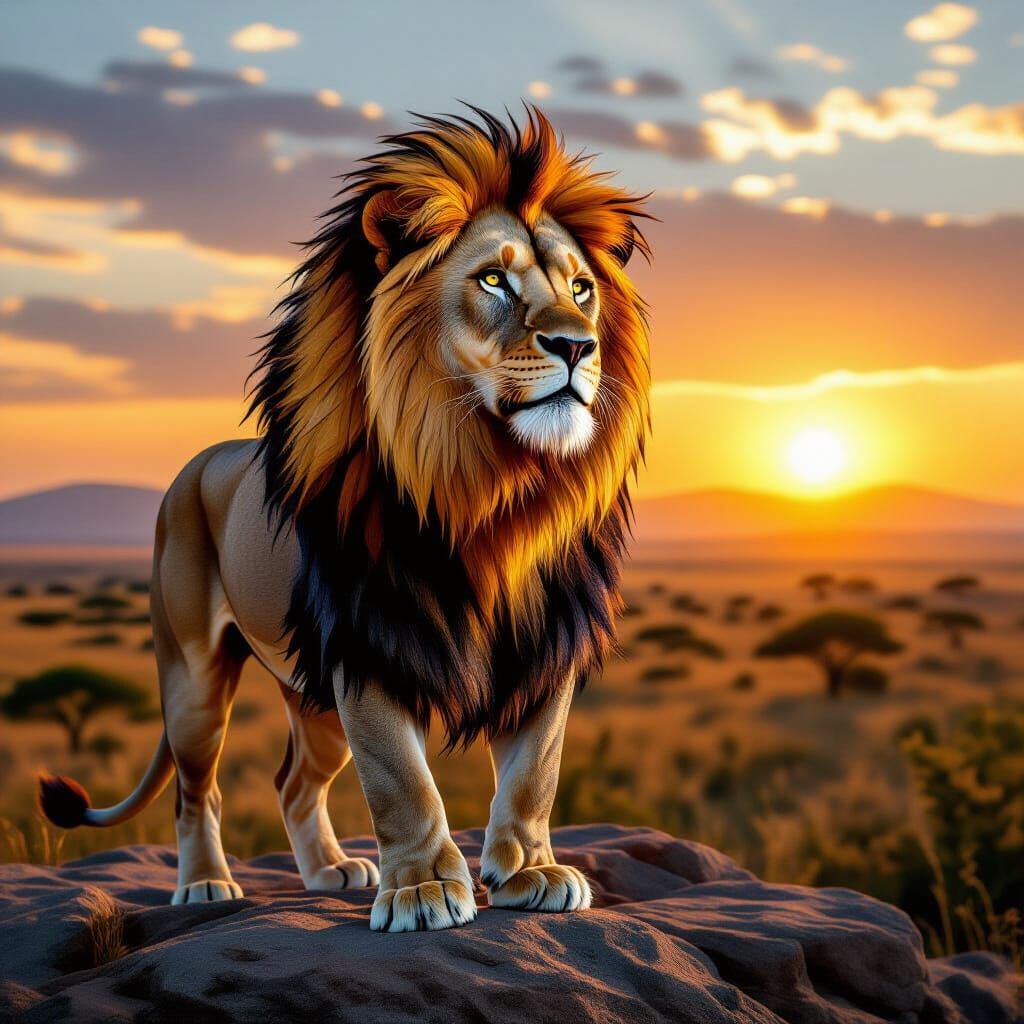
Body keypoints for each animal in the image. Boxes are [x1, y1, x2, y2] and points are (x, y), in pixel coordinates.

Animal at [39, 108, 651, 932]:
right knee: (198, 790)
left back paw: (330, 872)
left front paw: (531, 872)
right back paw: (205, 884)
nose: (578, 346)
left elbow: (534, 775)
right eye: (493, 279)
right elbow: (402, 781)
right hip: (194, 680)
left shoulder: (545, 645)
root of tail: (200, 461)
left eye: (582, 289)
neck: (491, 490)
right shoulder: (369, 642)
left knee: (294, 781)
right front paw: (423, 889)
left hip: (312, 697)